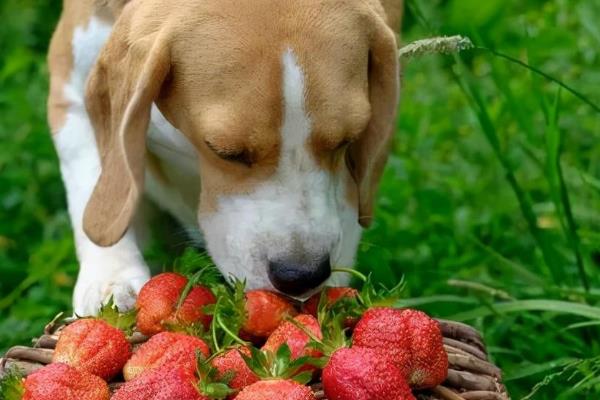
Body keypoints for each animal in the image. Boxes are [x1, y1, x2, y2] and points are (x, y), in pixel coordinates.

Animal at [47, 0, 404, 316]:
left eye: (346, 141)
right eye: (225, 152)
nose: (301, 275)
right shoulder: (70, 89)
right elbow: (92, 177)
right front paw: (111, 277)